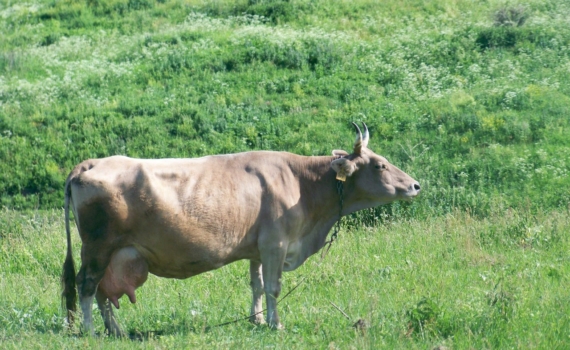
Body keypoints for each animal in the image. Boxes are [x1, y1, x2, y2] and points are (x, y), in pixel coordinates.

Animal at [62, 121, 420, 334]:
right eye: (380, 165)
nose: (415, 185)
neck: (301, 182)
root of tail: (90, 163)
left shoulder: (258, 248)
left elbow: (257, 286)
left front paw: (257, 319)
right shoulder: (276, 244)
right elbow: (273, 287)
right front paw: (276, 325)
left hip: (113, 253)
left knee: (103, 291)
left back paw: (115, 330)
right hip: (97, 248)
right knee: (86, 286)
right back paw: (92, 332)